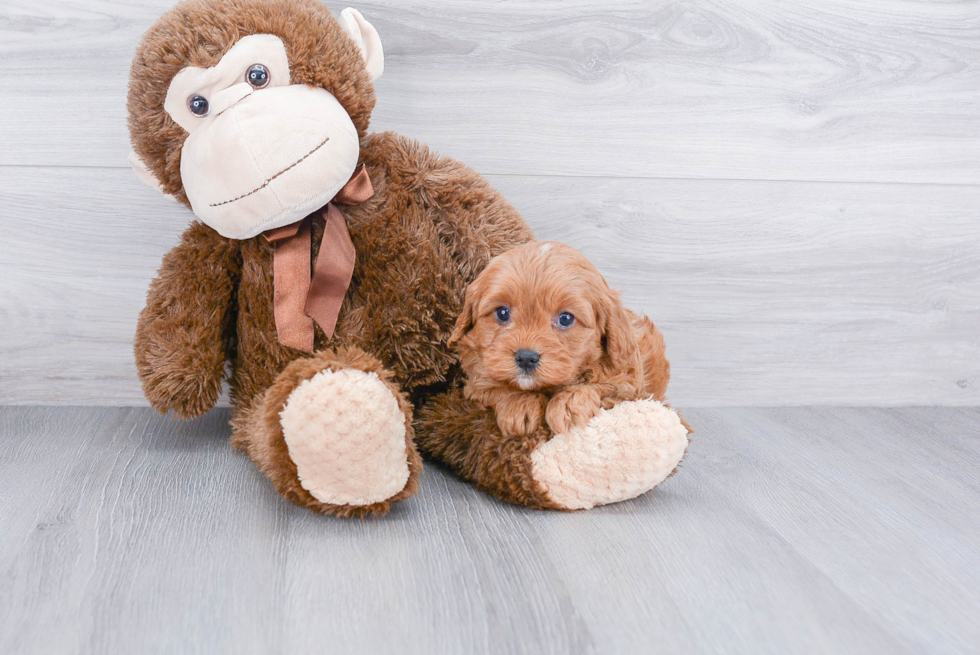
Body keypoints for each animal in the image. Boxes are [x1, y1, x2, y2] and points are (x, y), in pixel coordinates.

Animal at [450, 241, 668, 436]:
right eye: (502, 313)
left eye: (566, 319)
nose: (526, 358)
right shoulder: (476, 382)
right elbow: (493, 386)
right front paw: (518, 403)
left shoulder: (630, 385)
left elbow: (602, 386)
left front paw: (569, 404)